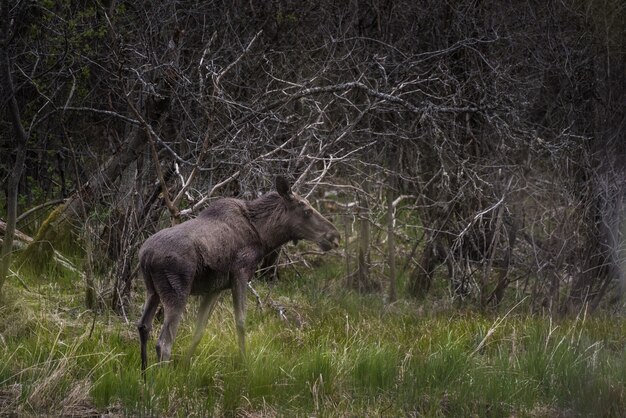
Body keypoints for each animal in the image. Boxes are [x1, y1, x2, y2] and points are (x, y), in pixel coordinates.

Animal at [138, 176, 342, 372]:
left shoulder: (215, 288)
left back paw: (145, 375)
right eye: (307, 211)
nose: (335, 236)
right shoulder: (241, 274)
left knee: (143, 326)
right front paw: (245, 364)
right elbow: (241, 322)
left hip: (152, 291)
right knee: (164, 343)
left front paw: (186, 367)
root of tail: (146, 256)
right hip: (177, 292)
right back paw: (164, 378)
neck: (264, 236)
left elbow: (199, 330)